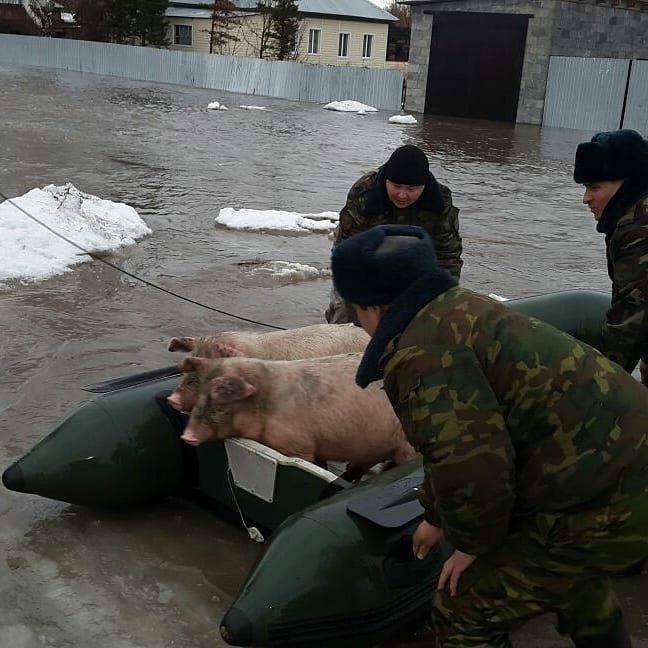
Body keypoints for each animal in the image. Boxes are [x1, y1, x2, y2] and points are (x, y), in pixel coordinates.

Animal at [177, 352, 418, 474]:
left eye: (218, 402)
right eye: (200, 394)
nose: (186, 436)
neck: (267, 402)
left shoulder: (298, 444)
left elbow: (310, 462)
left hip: (407, 447)